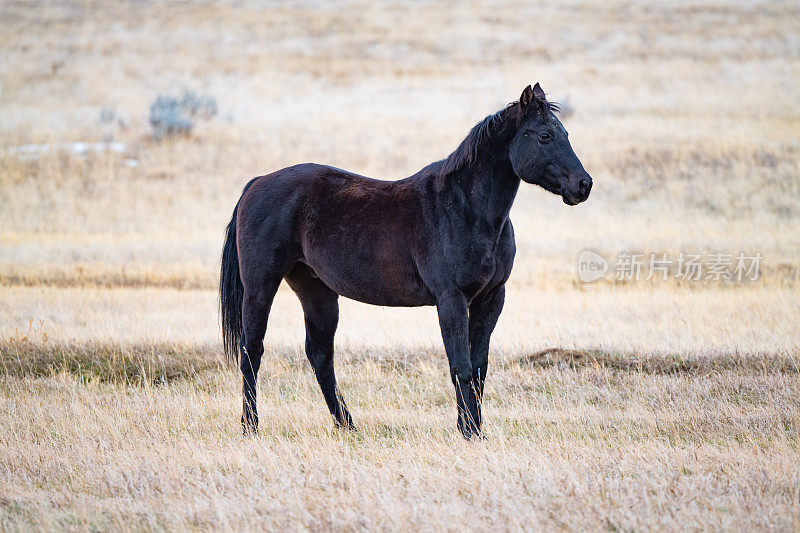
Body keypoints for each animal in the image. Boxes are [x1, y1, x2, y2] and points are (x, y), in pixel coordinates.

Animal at [222, 84, 592, 436]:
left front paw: (474, 427)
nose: (583, 185)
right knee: (251, 352)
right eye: (544, 136)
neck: (467, 209)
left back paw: (346, 425)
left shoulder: (491, 298)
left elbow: (479, 367)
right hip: (260, 288)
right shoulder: (452, 299)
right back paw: (251, 426)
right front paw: (469, 432)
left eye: (566, 133)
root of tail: (257, 183)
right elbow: (460, 366)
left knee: (320, 356)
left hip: (317, 291)